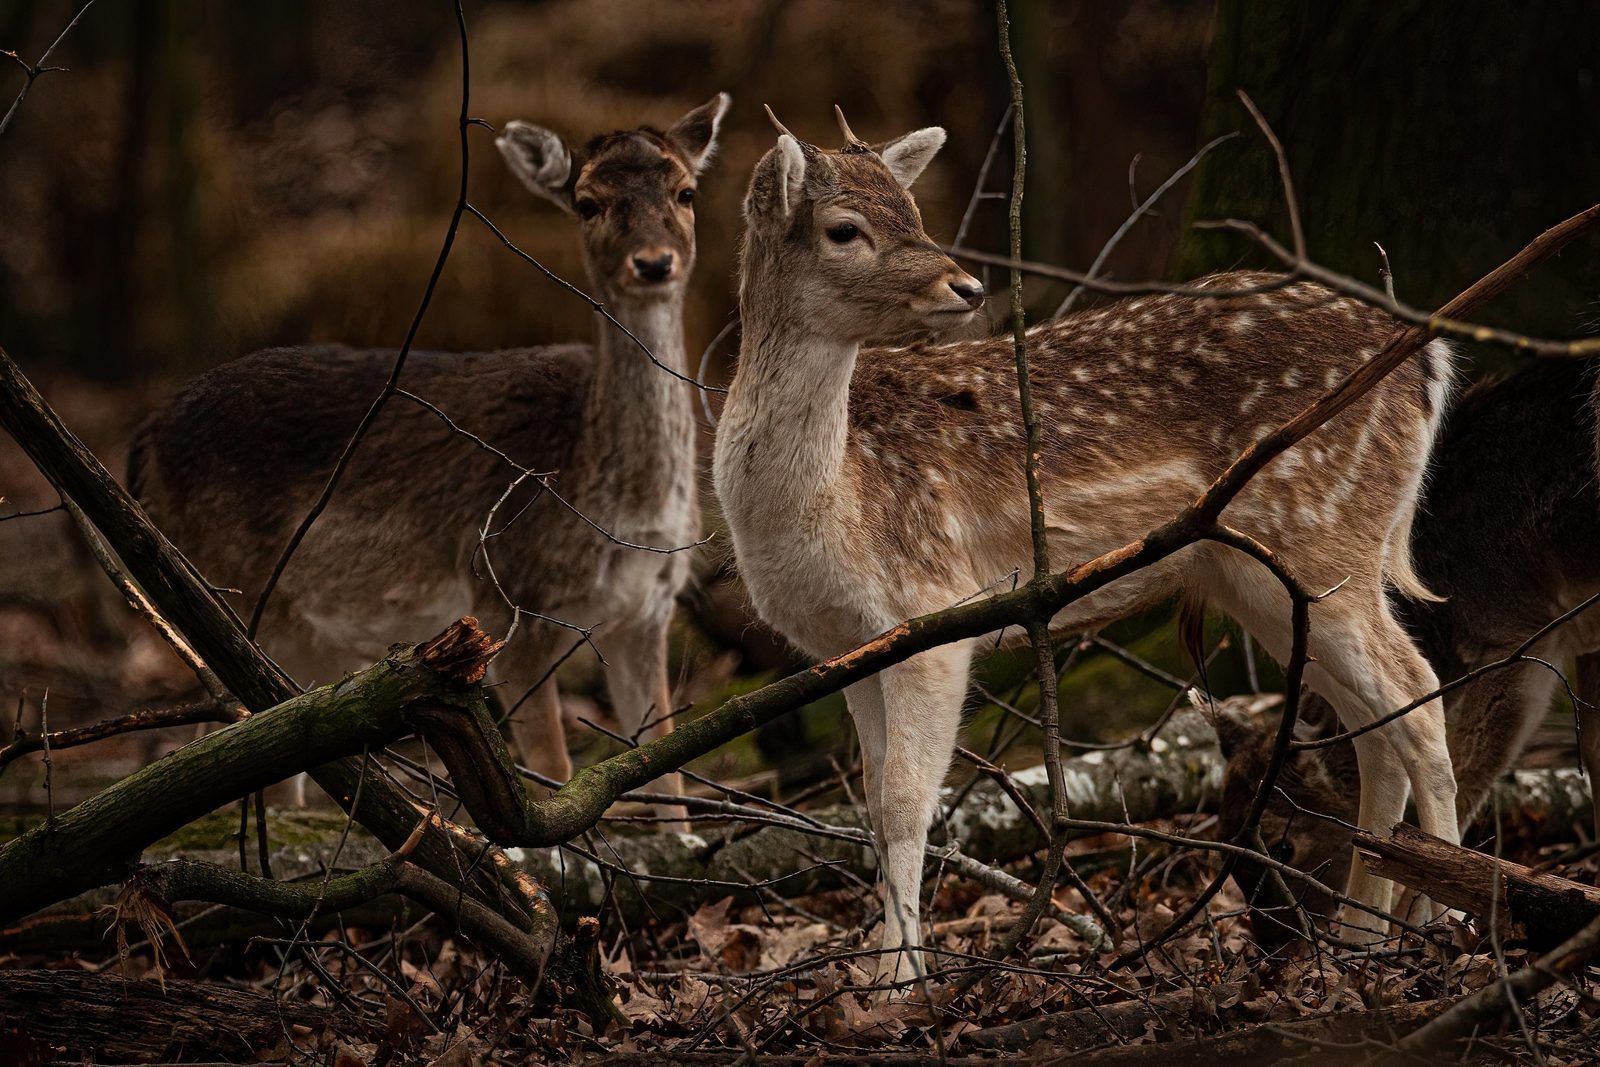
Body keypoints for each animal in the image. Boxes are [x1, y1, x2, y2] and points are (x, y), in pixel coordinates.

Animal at [131, 95, 732, 812]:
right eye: (587, 202)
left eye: (686, 191)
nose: (654, 262)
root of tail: (144, 441)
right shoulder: (505, 600)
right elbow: (555, 773)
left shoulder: (648, 612)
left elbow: (668, 776)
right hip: (226, 592)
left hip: (300, 638)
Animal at [720, 108, 1465, 985]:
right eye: (846, 229)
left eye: (914, 211)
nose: (967, 286)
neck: (831, 498)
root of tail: (1428, 357)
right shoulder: (849, 647)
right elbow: (870, 805)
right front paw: (883, 970)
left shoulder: (932, 606)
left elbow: (905, 802)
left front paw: (903, 982)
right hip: (1268, 576)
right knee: (1375, 725)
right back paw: (1359, 941)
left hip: (1326, 533)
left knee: (1421, 695)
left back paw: (1454, 926)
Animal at [1216, 358, 1600, 953]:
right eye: (1227, 854)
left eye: (1283, 845)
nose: (1276, 954)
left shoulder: (1515, 636)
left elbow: (1466, 769)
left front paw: (1420, 921)